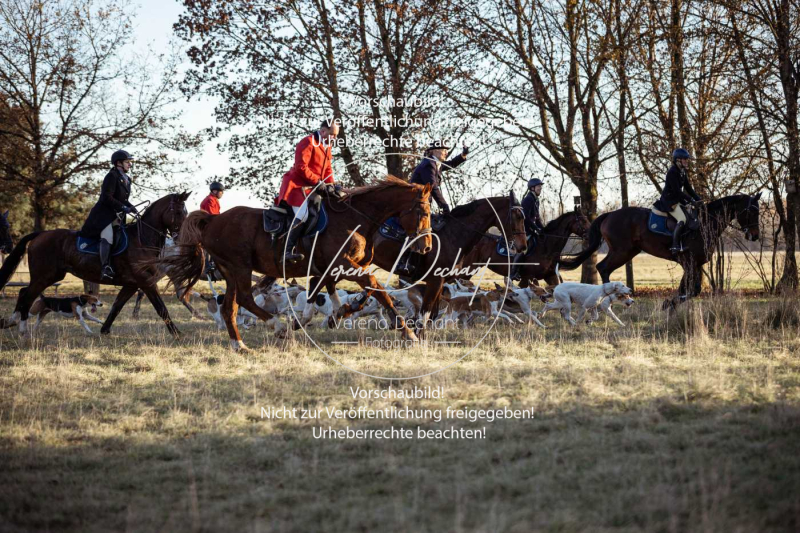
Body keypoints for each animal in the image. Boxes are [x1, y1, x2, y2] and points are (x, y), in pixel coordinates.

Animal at [0, 192, 191, 336]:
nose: (183, 238)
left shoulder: (132, 283)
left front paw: (104, 330)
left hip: (48, 276)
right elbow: (161, 307)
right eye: (179, 212)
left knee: (23, 292)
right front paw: (177, 333)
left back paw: (12, 322)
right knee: (27, 295)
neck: (142, 239)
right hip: (45, 276)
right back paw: (22, 329)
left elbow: (117, 306)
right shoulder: (146, 282)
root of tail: (41, 234)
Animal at [155, 176, 432, 350]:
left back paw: (240, 345)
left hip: (230, 270)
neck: (356, 219)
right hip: (240, 267)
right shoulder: (343, 264)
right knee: (245, 298)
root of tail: (213, 220)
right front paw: (407, 332)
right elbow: (375, 287)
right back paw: (278, 327)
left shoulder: (330, 268)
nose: (426, 246)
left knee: (229, 307)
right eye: (424, 212)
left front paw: (339, 312)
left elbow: (327, 294)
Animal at [460, 210, 592, 288]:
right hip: (468, 267)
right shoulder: (527, 278)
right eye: (583, 220)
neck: (546, 248)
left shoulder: (550, 276)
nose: (591, 232)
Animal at [552, 193, 760, 302]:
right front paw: (672, 303)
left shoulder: (694, 263)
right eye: (750, 211)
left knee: (604, 268)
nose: (755, 236)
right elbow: (691, 288)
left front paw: (673, 302)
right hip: (622, 251)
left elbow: (690, 288)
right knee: (603, 267)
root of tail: (609, 214)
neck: (705, 224)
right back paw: (611, 298)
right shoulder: (689, 261)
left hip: (627, 251)